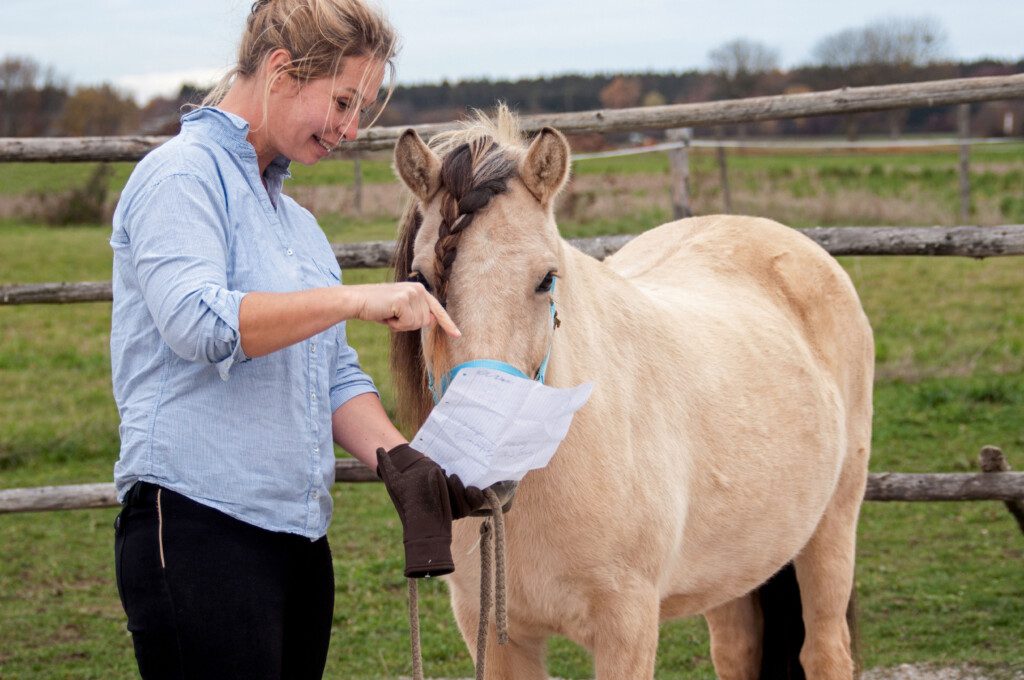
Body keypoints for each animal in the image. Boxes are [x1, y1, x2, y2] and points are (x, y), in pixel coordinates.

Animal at [389, 107, 872, 680]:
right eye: (421, 281)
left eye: (546, 279)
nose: (483, 467)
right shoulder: (495, 634)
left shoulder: (629, 627)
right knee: (737, 651)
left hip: (831, 529)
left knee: (826, 651)